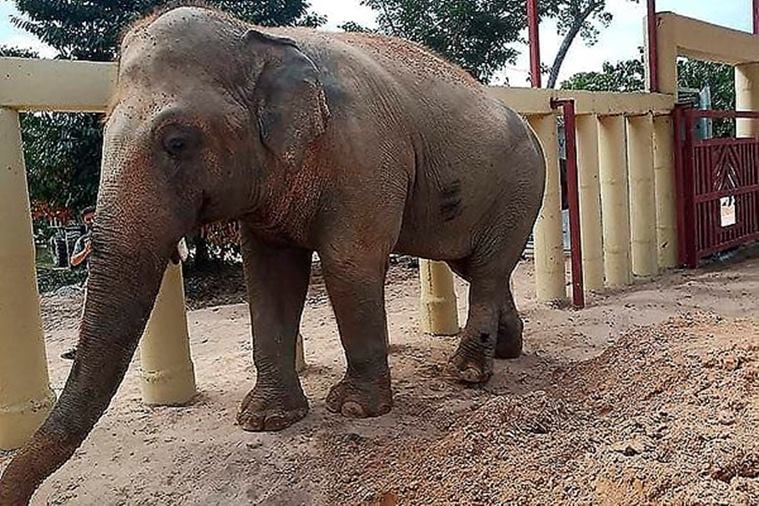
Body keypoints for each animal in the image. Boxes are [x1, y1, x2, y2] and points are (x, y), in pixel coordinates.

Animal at [0, 5, 545, 503]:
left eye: (177, 142)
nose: (16, 496)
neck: (262, 39)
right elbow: (269, 276)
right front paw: (264, 420)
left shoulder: (364, 155)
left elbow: (350, 263)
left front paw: (355, 410)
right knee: (476, 266)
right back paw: (506, 349)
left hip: (520, 187)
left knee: (488, 269)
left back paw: (466, 374)